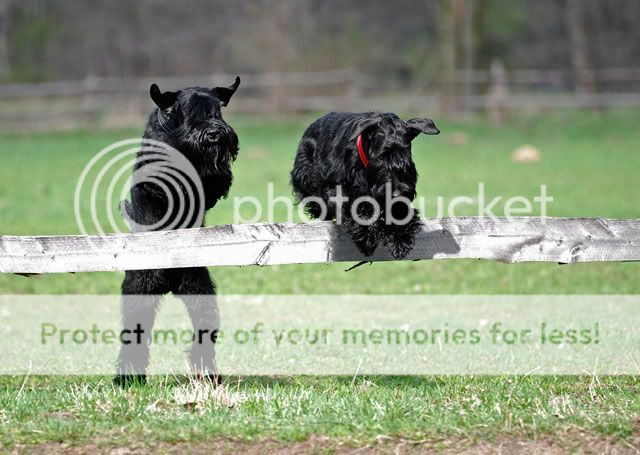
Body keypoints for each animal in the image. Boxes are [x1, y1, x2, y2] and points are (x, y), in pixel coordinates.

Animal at [115, 77, 240, 386]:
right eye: (189, 112)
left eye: (217, 110)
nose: (214, 134)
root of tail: (170, 280)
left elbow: (214, 181)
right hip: (140, 291)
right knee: (134, 332)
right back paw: (127, 377)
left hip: (200, 291)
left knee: (204, 331)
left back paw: (207, 374)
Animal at [291, 112, 439, 259]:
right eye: (381, 155)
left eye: (406, 155)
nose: (397, 193)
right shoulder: (336, 189)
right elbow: (353, 207)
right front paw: (367, 237)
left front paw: (399, 238)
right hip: (305, 170)